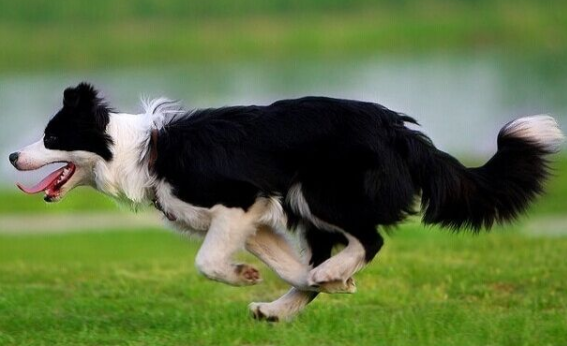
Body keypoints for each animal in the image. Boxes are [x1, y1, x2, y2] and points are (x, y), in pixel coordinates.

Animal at [7, 84, 564, 322]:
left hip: (318, 192)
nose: (11, 155)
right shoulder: (255, 222)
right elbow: (286, 265)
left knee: (370, 238)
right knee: (323, 258)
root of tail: (401, 130)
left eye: (51, 137)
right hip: (307, 205)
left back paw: (326, 274)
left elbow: (207, 261)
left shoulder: (238, 200)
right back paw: (282, 307)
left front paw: (244, 276)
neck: (138, 150)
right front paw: (319, 285)